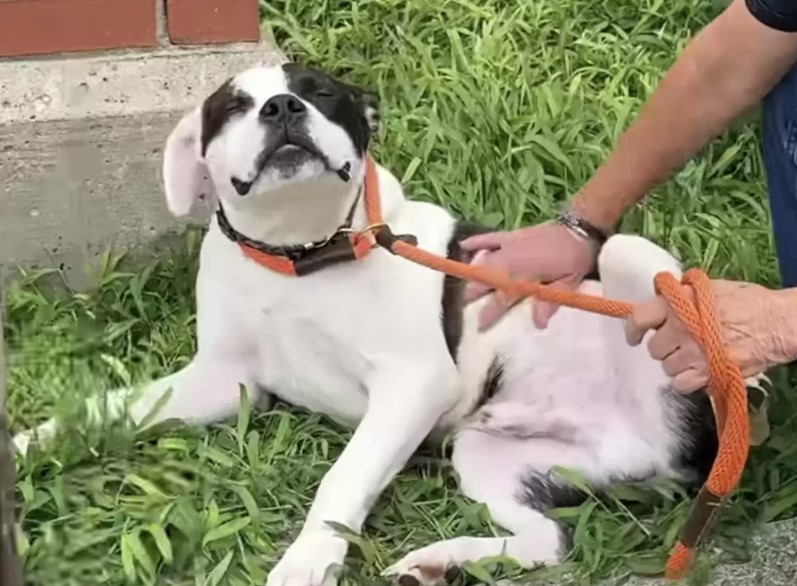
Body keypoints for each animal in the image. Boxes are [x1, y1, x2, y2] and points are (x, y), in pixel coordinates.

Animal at [12, 62, 720, 584]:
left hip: (636, 268)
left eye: (321, 93)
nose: (283, 109)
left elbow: (342, 478)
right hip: (491, 452)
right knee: (550, 539)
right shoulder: (221, 381)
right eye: (233, 107)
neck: (296, 254)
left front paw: (304, 562)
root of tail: (684, 452)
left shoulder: (412, 385)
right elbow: (107, 409)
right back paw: (441, 562)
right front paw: (23, 448)